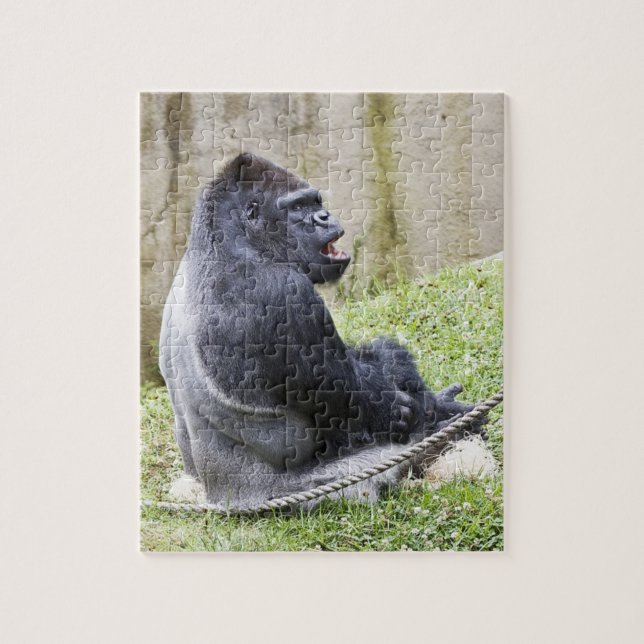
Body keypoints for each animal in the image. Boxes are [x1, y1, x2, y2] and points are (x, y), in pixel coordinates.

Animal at [159, 153, 483, 510]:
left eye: (316, 201)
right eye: (298, 207)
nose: (324, 216)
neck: (229, 241)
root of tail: (221, 500)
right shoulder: (285, 293)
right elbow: (386, 406)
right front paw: (437, 409)